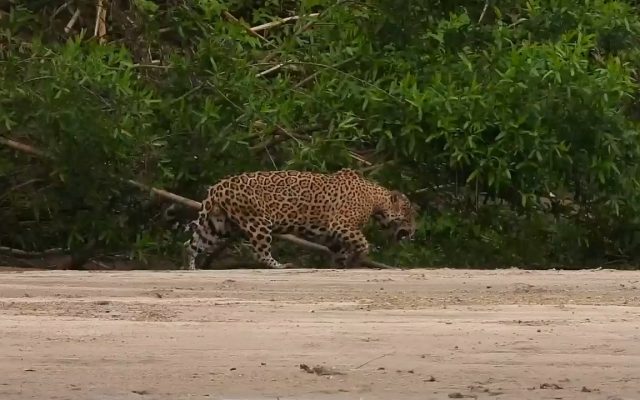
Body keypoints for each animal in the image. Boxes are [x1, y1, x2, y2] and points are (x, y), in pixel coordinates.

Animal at [184, 168, 418, 270]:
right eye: (408, 216)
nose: (414, 232)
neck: (375, 199)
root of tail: (218, 186)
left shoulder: (332, 234)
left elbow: (340, 251)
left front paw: (341, 264)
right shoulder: (341, 225)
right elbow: (363, 243)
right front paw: (356, 259)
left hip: (217, 224)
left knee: (192, 244)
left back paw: (191, 268)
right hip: (257, 222)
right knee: (260, 252)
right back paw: (280, 265)